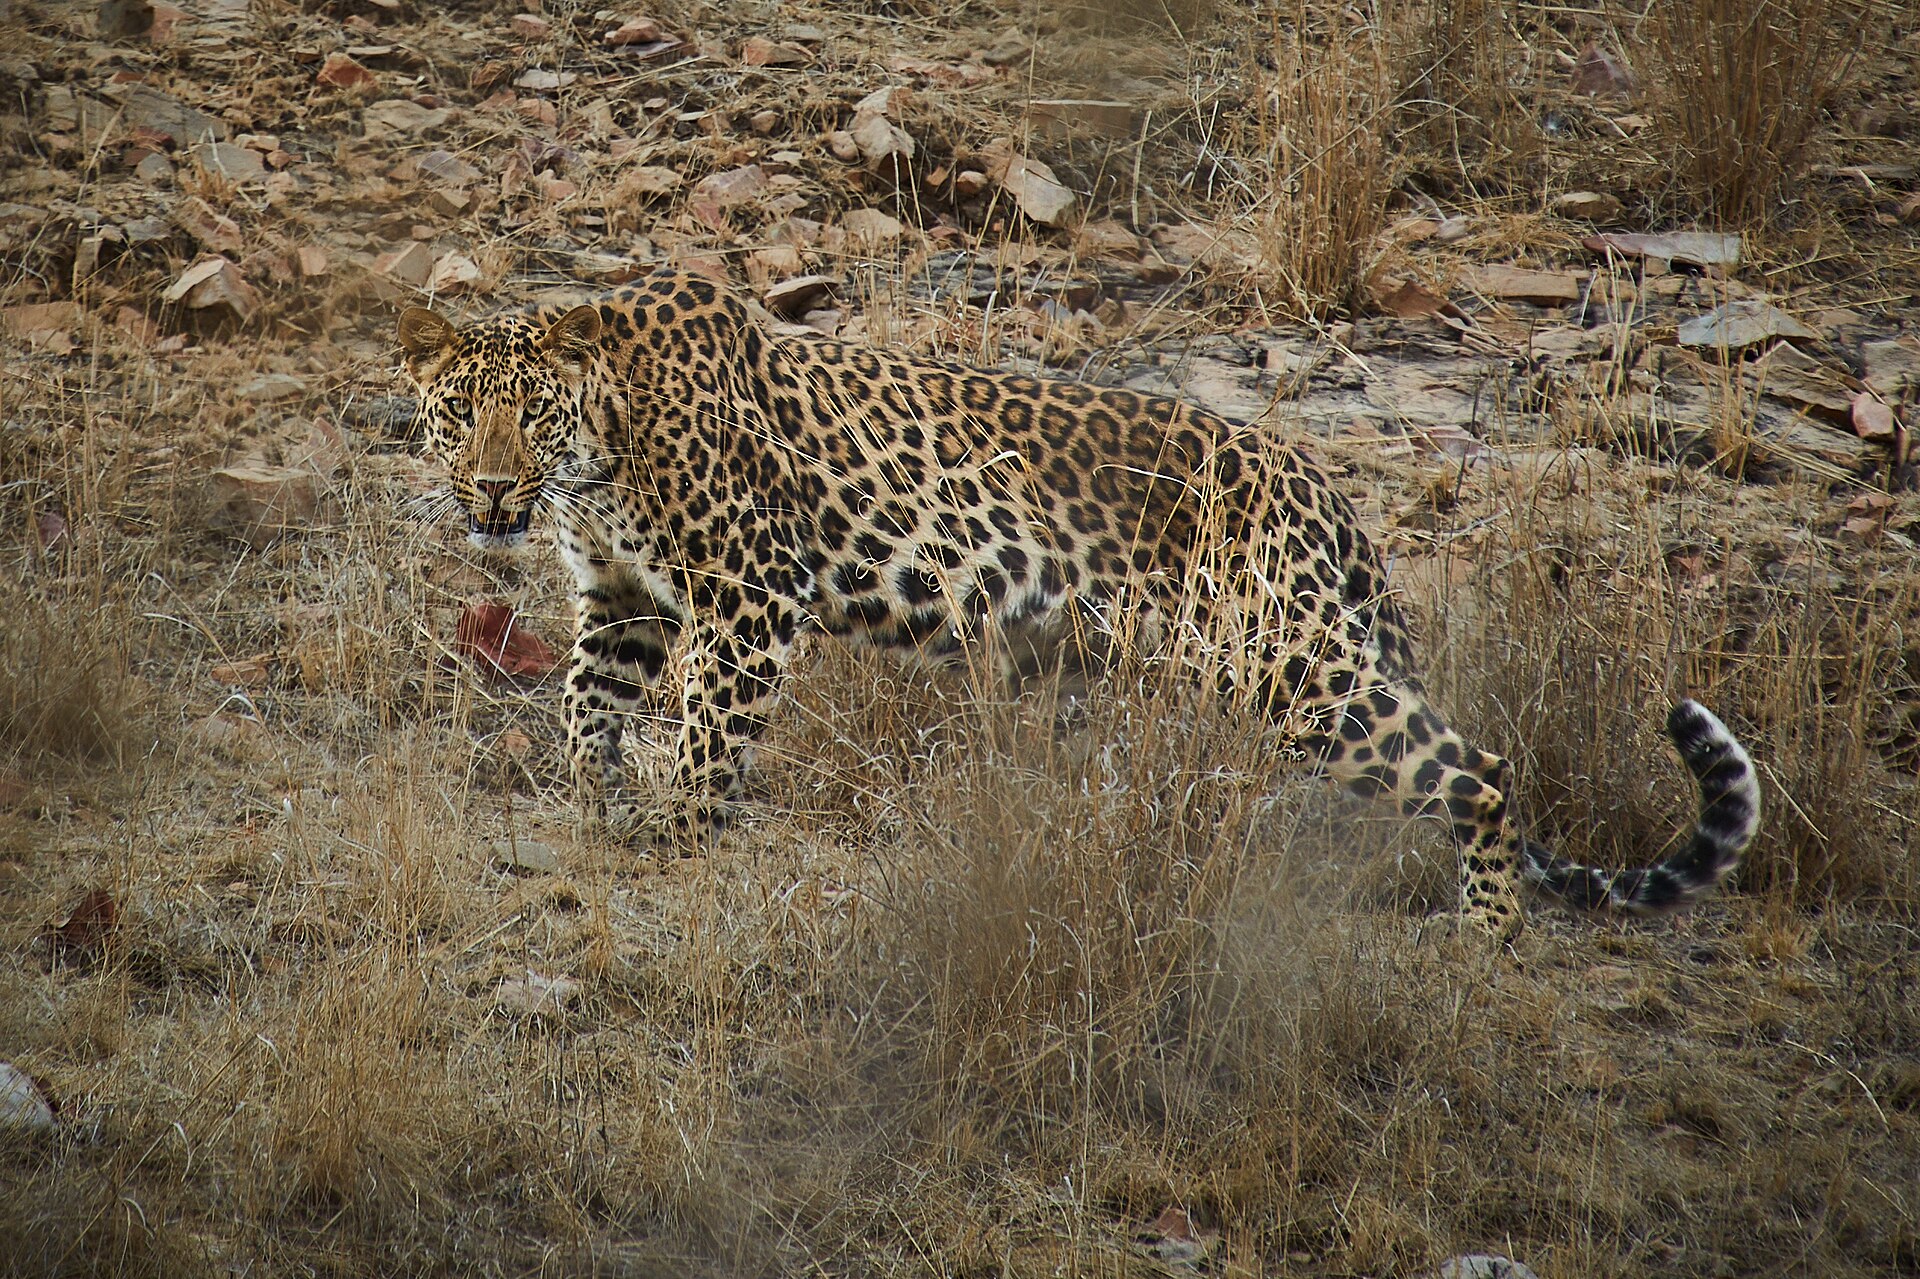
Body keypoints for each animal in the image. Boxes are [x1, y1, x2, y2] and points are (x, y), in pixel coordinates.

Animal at [397, 267, 1760, 938]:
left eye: (532, 410)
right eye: (460, 411)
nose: (494, 487)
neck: (601, 452)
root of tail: (1324, 487)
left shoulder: (750, 591)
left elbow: (706, 736)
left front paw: (675, 833)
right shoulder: (623, 598)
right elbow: (588, 709)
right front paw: (589, 806)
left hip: (1294, 661)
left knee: (1477, 769)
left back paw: (1484, 951)